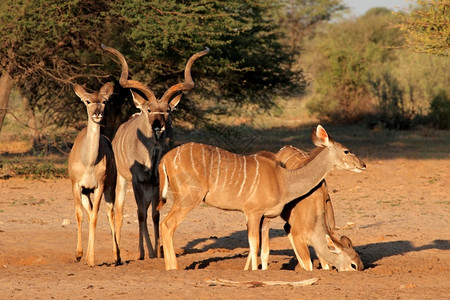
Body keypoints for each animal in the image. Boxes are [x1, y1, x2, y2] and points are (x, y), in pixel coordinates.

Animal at [67, 81, 118, 266]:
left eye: (104, 101)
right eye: (88, 101)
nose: (97, 113)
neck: (89, 161)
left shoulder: (99, 186)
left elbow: (96, 216)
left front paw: (90, 259)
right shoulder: (77, 186)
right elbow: (80, 214)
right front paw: (79, 254)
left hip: (110, 188)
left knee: (111, 213)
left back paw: (117, 256)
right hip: (85, 193)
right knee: (89, 215)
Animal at [102, 44, 209, 260]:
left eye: (168, 110)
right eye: (150, 110)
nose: (158, 125)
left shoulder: (157, 182)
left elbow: (155, 214)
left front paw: (158, 251)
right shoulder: (136, 181)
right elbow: (140, 214)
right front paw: (144, 252)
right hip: (122, 180)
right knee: (121, 211)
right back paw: (121, 252)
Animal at [158, 124, 366, 270]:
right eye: (347, 150)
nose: (363, 165)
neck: (283, 179)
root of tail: (165, 158)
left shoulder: (265, 217)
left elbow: (263, 249)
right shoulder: (253, 212)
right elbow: (254, 244)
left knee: (163, 224)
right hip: (187, 199)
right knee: (167, 225)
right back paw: (172, 268)